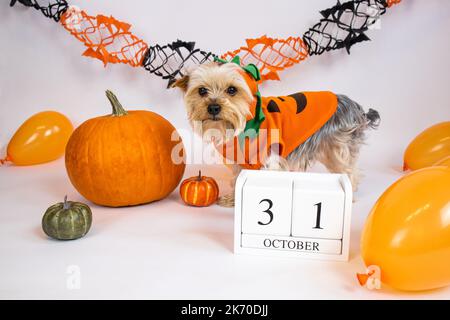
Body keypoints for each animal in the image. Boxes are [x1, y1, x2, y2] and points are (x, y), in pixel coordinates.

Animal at [172, 58, 380, 206]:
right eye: (201, 91)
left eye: (232, 90)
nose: (214, 107)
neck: (244, 124)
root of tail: (355, 106)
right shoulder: (241, 162)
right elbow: (237, 180)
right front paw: (234, 199)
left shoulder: (270, 159)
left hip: (337, 146)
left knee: (348, 170)